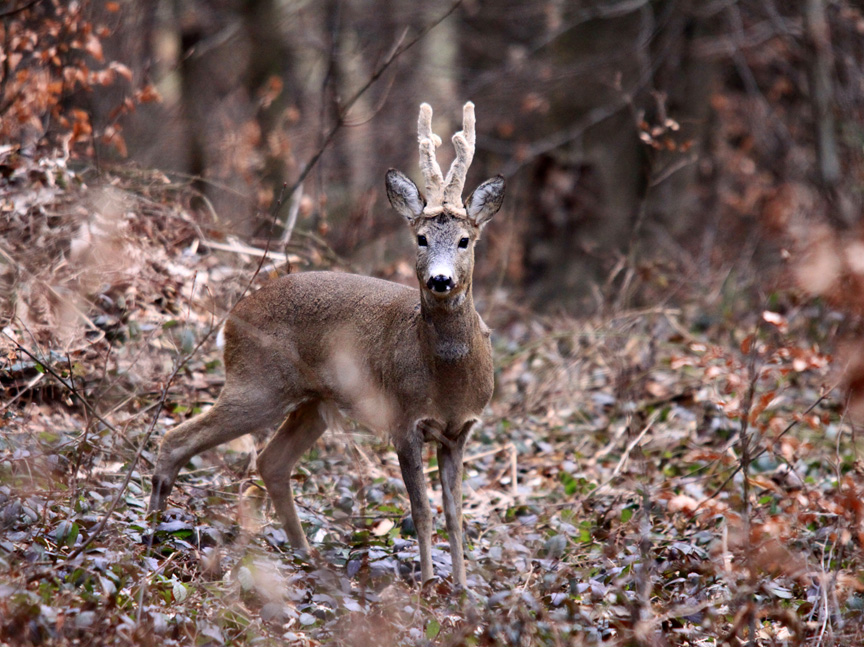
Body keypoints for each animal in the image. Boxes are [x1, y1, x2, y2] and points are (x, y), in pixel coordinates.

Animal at [146, 102, 502, 592]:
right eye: (421, 238)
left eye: (465, 240)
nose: (441, 280)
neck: (446, 377)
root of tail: (231, 319)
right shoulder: (403, 420)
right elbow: (422, 512)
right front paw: (429, 586)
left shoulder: (460, 431)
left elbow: (456, 516)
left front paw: (463, 590)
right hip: (256, 384)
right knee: (176, 438)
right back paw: (151, 535)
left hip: (312, 402)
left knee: (271, 462)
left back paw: (304, 555)